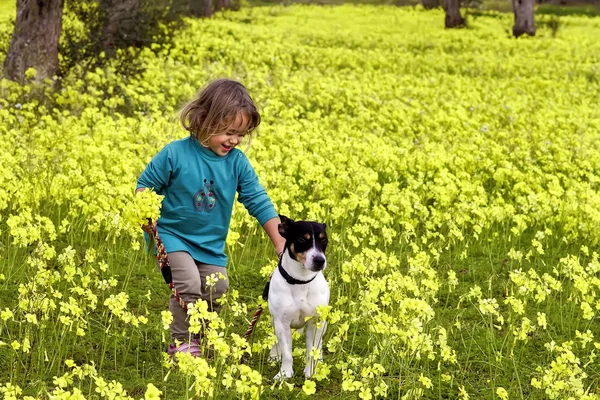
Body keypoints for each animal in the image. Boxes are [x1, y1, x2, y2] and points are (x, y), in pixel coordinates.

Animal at [270, 214, 330, 380]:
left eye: (324, 241)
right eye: (302, 239)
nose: (320, 260)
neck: (300, 281)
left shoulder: (315, 323)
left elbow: (312, 350)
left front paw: (311, 371)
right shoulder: (282, 324)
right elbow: (287, 353)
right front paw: (284, 373)